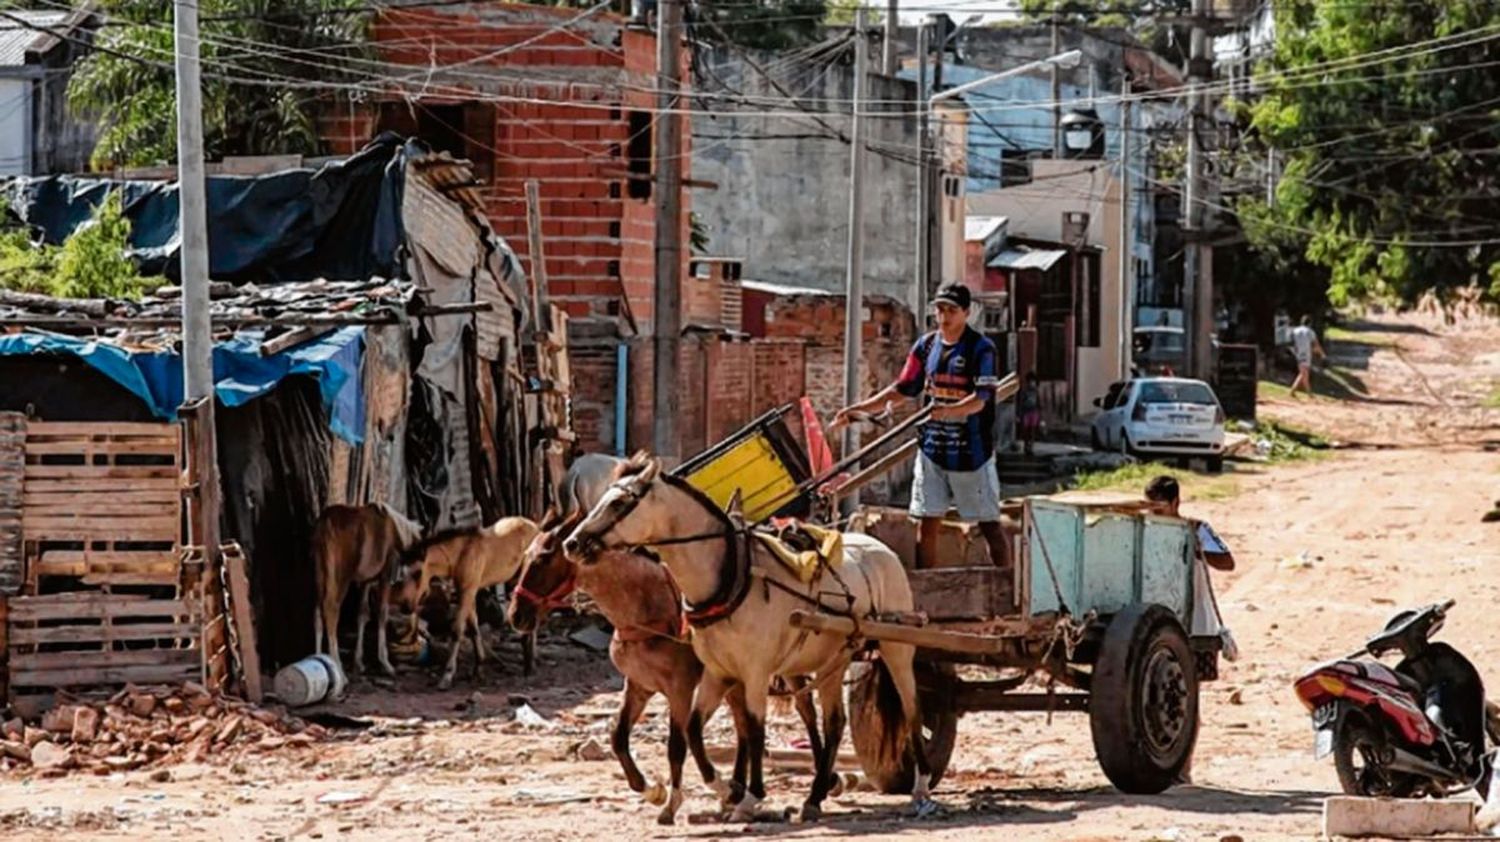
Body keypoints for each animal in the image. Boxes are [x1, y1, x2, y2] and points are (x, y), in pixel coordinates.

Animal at [310, 501, 426, 678]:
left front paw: (359, 663)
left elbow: (362, 614)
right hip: (340, 578)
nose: (412, 607)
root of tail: (326, 521)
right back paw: (339, 669)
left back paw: (320, 661)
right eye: (419, 573)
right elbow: (382, 613)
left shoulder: (366, 582)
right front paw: (385, 663)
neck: (396, 531)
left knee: (317, 614)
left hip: (320, 577)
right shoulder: (385, 576)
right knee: (331, 609)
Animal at [396, 516, 543, 687]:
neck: (460, 555)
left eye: (418, 573)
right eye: (402, 573)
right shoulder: (468, 593)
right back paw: (531, 661)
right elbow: (473, 630)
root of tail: (535, 526)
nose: (405, 607)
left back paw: (531, 665)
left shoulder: (467, 592)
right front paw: (478, 670)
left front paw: (447, 676)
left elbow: (457, 630)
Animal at [510, 510, 828, 822]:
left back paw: (821, 785)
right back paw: (737, 790)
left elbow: (676, 745)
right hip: (735, 677)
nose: (516, 616)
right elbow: (618, 737)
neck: (647, 610)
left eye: (543, 559)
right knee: (743, 727)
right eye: (523, 557)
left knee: (807, 712)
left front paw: (673, 803)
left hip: (786, 667)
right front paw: (652, 790)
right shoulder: (638, 686)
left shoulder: (679, 690)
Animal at [564, 453, 936, 822]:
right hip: (833, 660)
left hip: (896, 647)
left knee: (912, 709)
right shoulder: (718, 673)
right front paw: (728, 790)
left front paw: (750, 795)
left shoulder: (753, 673)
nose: (572, 543)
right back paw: (815, 796)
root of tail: (880, 548)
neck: (732, 578)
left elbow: (754, 730)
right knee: (834, 722)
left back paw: (920, 787)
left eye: (619, 502)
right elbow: (694, 731)